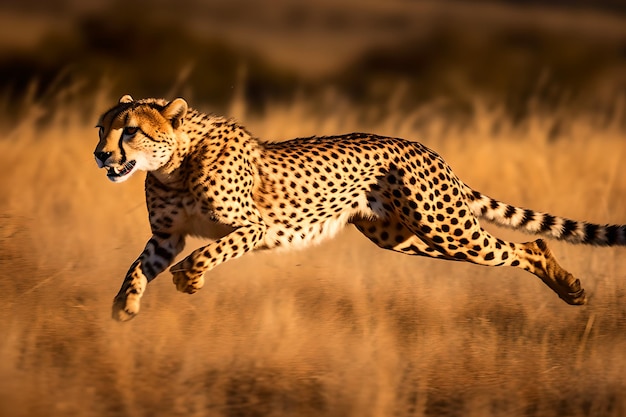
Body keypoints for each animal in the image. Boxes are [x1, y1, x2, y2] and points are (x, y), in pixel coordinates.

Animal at [94, 95, 624, 322]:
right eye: (102, 128)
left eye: (130, 131)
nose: (100, 155)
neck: (174, 164)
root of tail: (423, 147)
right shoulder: (166, 237)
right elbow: (138, 267)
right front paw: (126, 303)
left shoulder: (252, 226)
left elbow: (207, 253)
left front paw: (191, 278)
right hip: (405, 238)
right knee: (524, 245)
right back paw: (569, 288)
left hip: (446, 226)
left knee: (527, 246)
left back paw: (571, 289)